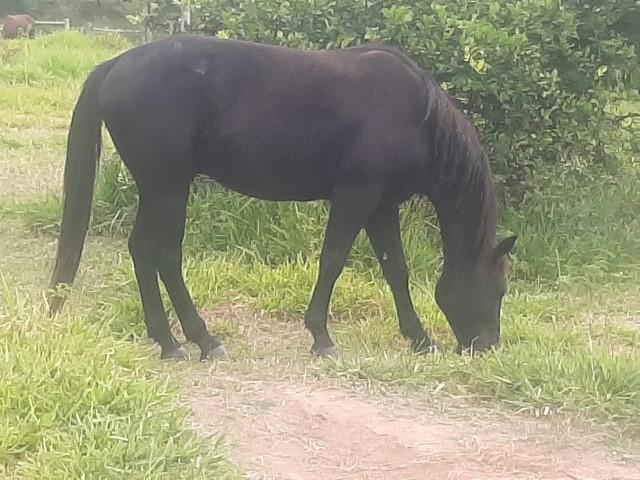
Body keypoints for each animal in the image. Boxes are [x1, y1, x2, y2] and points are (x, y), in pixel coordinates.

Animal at [48, 35, 516, 360]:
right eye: (499, 289)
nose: (486, 346)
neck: (418, 117)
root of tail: (117, 64)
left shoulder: (382, 204)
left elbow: (395, 270)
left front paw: (420, 339)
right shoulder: (357, 194)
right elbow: (333, 260)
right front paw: (322, 338)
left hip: (159, 188)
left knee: (144, 252)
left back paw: (170, 340)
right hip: (168, 187)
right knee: (161, 253)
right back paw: (198, 340)